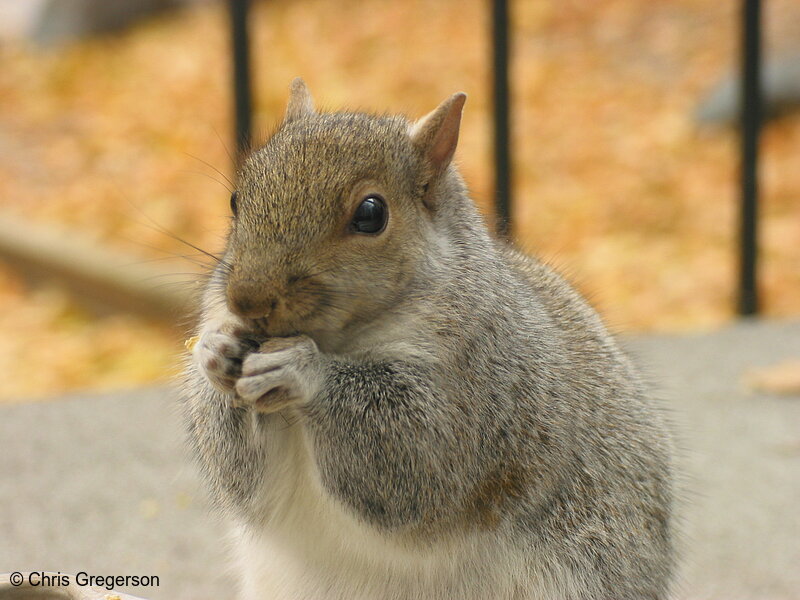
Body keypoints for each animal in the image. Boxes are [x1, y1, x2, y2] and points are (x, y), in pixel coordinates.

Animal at [180, 79, 676, 600]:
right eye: (236, 199)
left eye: (371, 214)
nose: (247, 300)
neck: (341, 341)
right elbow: (243, 479)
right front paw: (214, 350)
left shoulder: (484, 383)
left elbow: (421, 457)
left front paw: (302, 370)